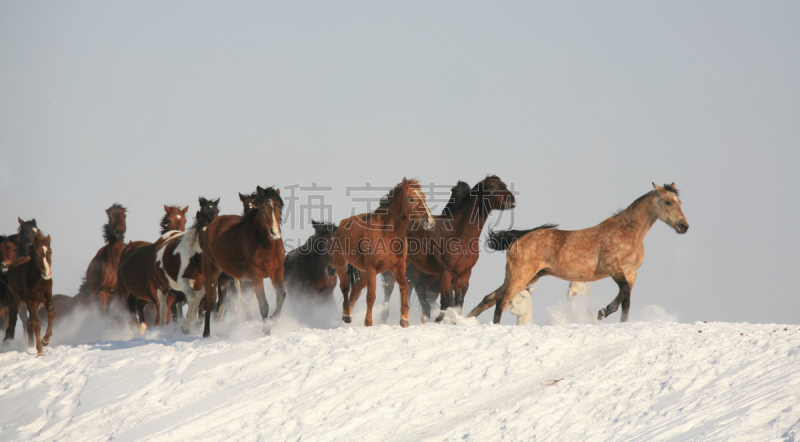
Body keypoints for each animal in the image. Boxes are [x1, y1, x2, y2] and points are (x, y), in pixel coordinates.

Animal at [154, 197, 219, 334]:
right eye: (202, 231)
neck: (196, 259)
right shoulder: (182, 281)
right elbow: (193, 299)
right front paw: (186, 326)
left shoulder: (203, 284)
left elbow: (197, 301)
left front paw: (187, 326)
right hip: (162, 286)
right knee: (163, 309)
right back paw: (162, 330)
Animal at [202, 187, 286, 338]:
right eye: (262, 207)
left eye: (279, 206)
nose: (274, 232)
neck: (267, 246)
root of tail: (213, 224)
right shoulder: (256, 275)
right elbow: (263, 304)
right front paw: (266, 331)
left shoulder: (277, 271)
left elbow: (281, 296)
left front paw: (273, 320)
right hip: (211, 272)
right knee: (210, 303)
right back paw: (207, 333)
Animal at [332, 177, 434, 328]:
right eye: (411, 199)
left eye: (424, 197)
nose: (429, 221)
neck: (386, 235)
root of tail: (343, 223)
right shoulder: (372, 269)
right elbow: (371, 296)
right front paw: (368, 322)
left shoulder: (398, 267)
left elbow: (404, 286)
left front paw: (404, 319)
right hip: (341, 263)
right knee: (345, 288)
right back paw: (346, 316)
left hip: (364, 273)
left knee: (356, 289)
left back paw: (348, 315)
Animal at [382, 174, 520, 322]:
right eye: (491, 186)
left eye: (505, 185)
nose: (511, 200)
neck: (459, 235)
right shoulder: (445, 273)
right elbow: (447, 302)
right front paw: (440, 321)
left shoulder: (464, 274)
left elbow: (457, 304)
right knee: (389, 289)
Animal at [468, 183, 688, 324]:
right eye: (668, 202)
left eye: (680, 202)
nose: (684, 226)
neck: (629, 232)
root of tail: (518, 239)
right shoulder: (613, 268)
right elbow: (623, 292)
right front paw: (603, 312)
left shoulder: (631, 273)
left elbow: (626, 300)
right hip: (521, 276)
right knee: (501, 301)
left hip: (527, 277)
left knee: (490, 298)